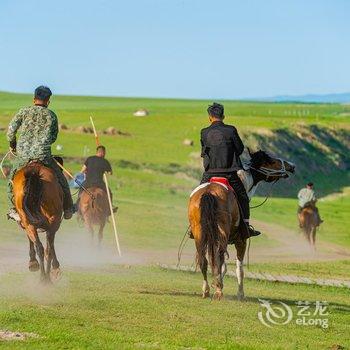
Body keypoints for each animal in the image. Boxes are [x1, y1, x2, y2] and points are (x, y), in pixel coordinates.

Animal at [189, 150, 296, 300]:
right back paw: (218, 291)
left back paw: (207, 290)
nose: (291, 166)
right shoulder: (241, 240)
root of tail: (208, 192)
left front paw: (218, 282)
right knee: (219, 257)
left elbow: (221, 266)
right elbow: (239, 268)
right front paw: (240, 293)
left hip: (199, 233)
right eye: (272, 161)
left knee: (203, 260)